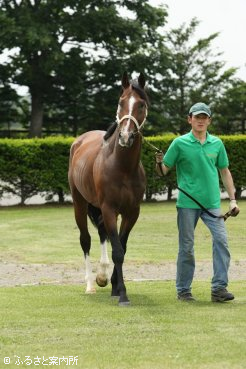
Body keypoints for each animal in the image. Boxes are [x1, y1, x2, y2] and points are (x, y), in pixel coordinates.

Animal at [68, 72, 149, 304]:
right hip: (80, 203)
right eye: (121, 102)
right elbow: (118, 252)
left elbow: (121, 245)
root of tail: (79, 141)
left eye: (141, 104)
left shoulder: (131, 212)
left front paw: (114, 286)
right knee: (85, 240)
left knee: (103, 234)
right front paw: (122, 294)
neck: (122, 167)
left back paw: (102, 276)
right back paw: (90, 285)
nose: (125, 137)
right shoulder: (109, 209)